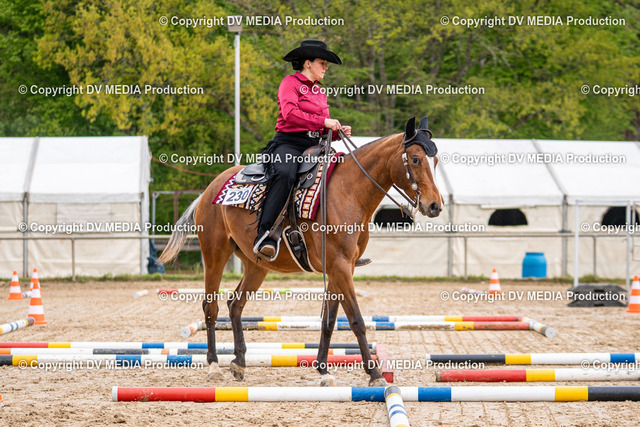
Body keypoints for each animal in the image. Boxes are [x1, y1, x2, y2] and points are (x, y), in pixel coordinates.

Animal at [158, 116, 443, 386]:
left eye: (436, 160)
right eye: (415, 159)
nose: (434, 205)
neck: (348, 191)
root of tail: (207, 191)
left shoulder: (341, 268)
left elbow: (329, 321)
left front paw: (324, 370)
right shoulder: (340, 266)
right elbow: (356, 320)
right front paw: (374, 374)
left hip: (255, 265)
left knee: (235, 304)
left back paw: (239, 362)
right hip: (214, 255)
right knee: (211, 307)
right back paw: (214, 365)